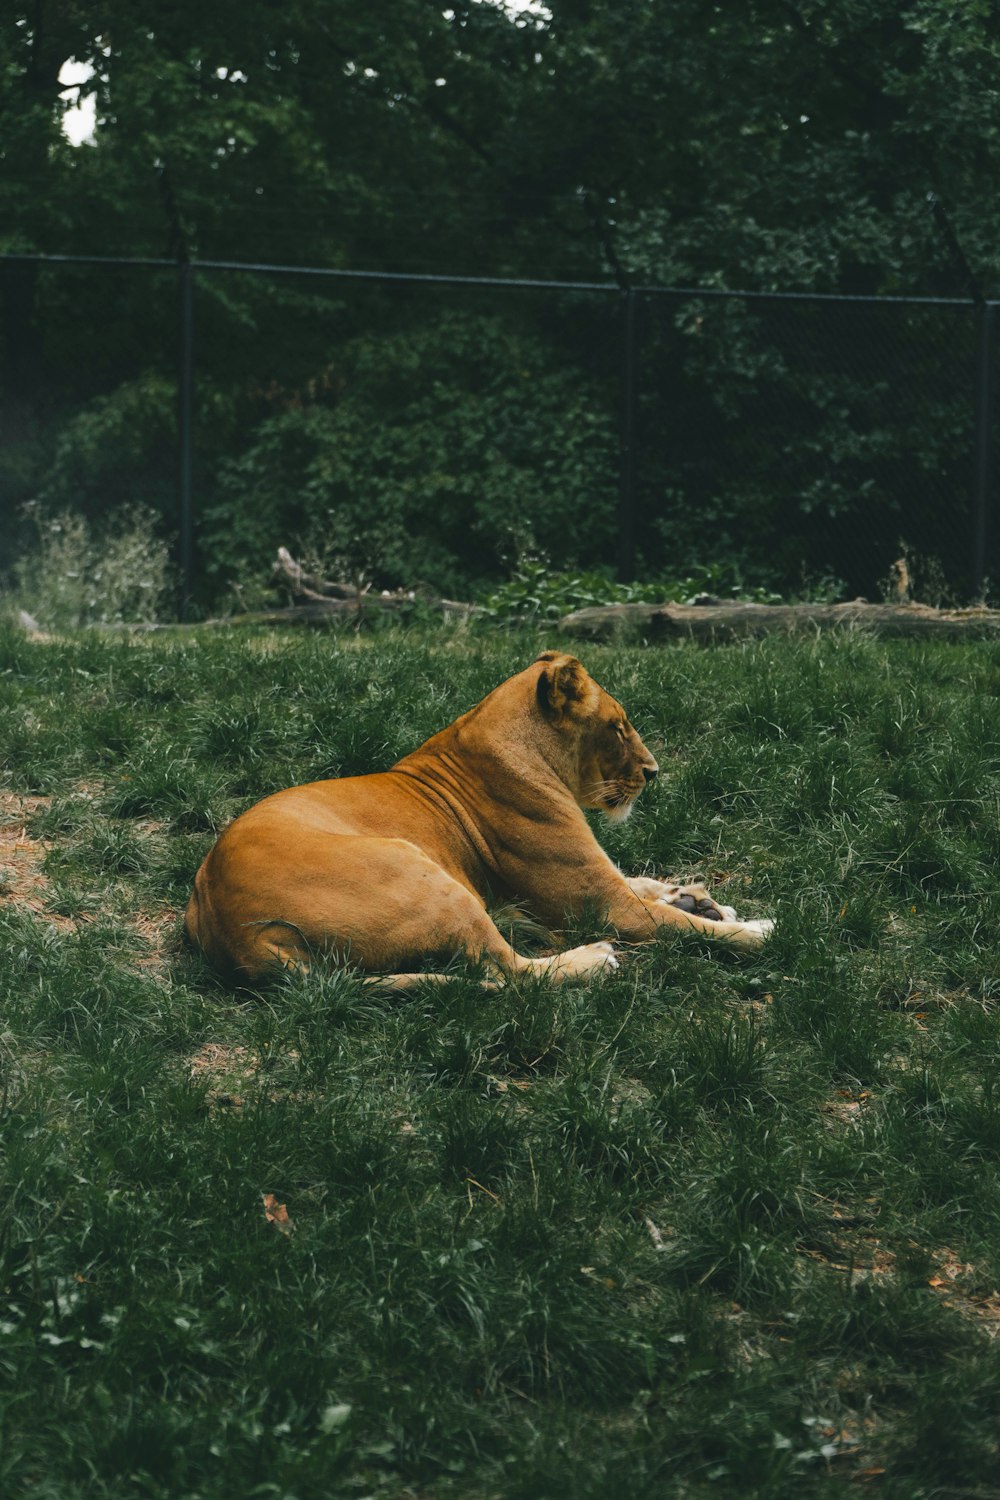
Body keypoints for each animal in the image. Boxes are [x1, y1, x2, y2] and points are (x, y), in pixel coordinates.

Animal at [187, 648, 773, 984]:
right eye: (618, 726)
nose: (654, 773)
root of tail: (225, 921)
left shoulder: (603, 881)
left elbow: (646, 882)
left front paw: (701, 899)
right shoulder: (604, 906)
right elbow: (681, 927)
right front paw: (757, 929)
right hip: (428, 876)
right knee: (510, 972)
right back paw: (593, 960)